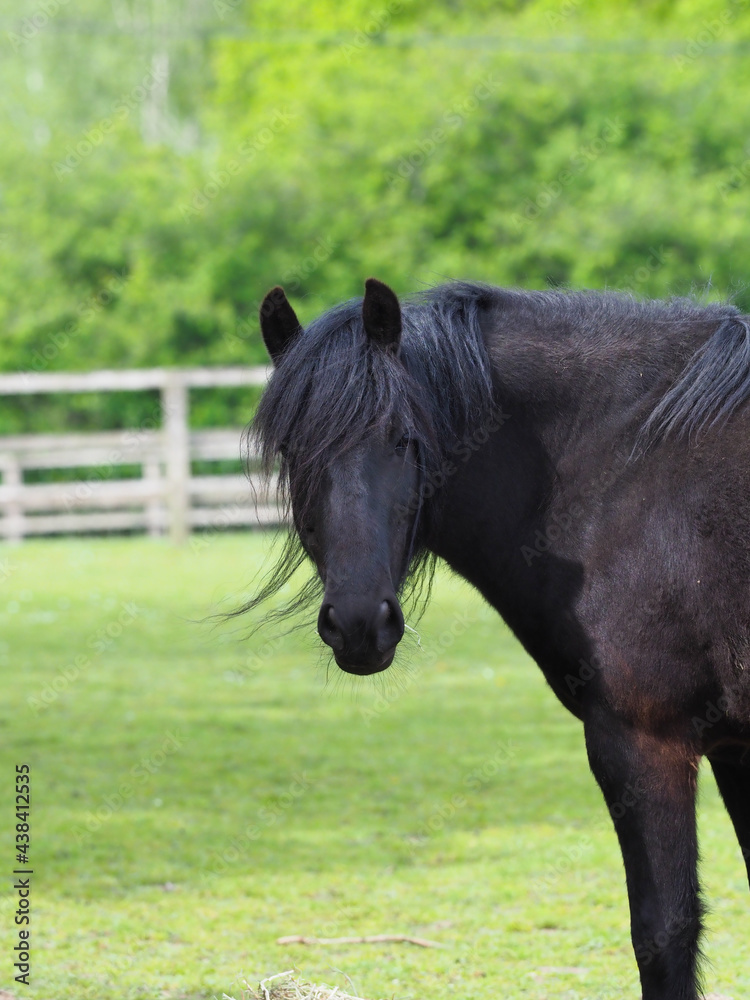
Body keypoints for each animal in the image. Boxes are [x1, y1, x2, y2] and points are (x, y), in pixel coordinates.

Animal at [250, 276, 748, 1000]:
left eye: (403, 439)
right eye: (291, 450)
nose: (360, 623)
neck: (638, 473)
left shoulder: (644, 744)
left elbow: (664, 934)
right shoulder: (736, 749)